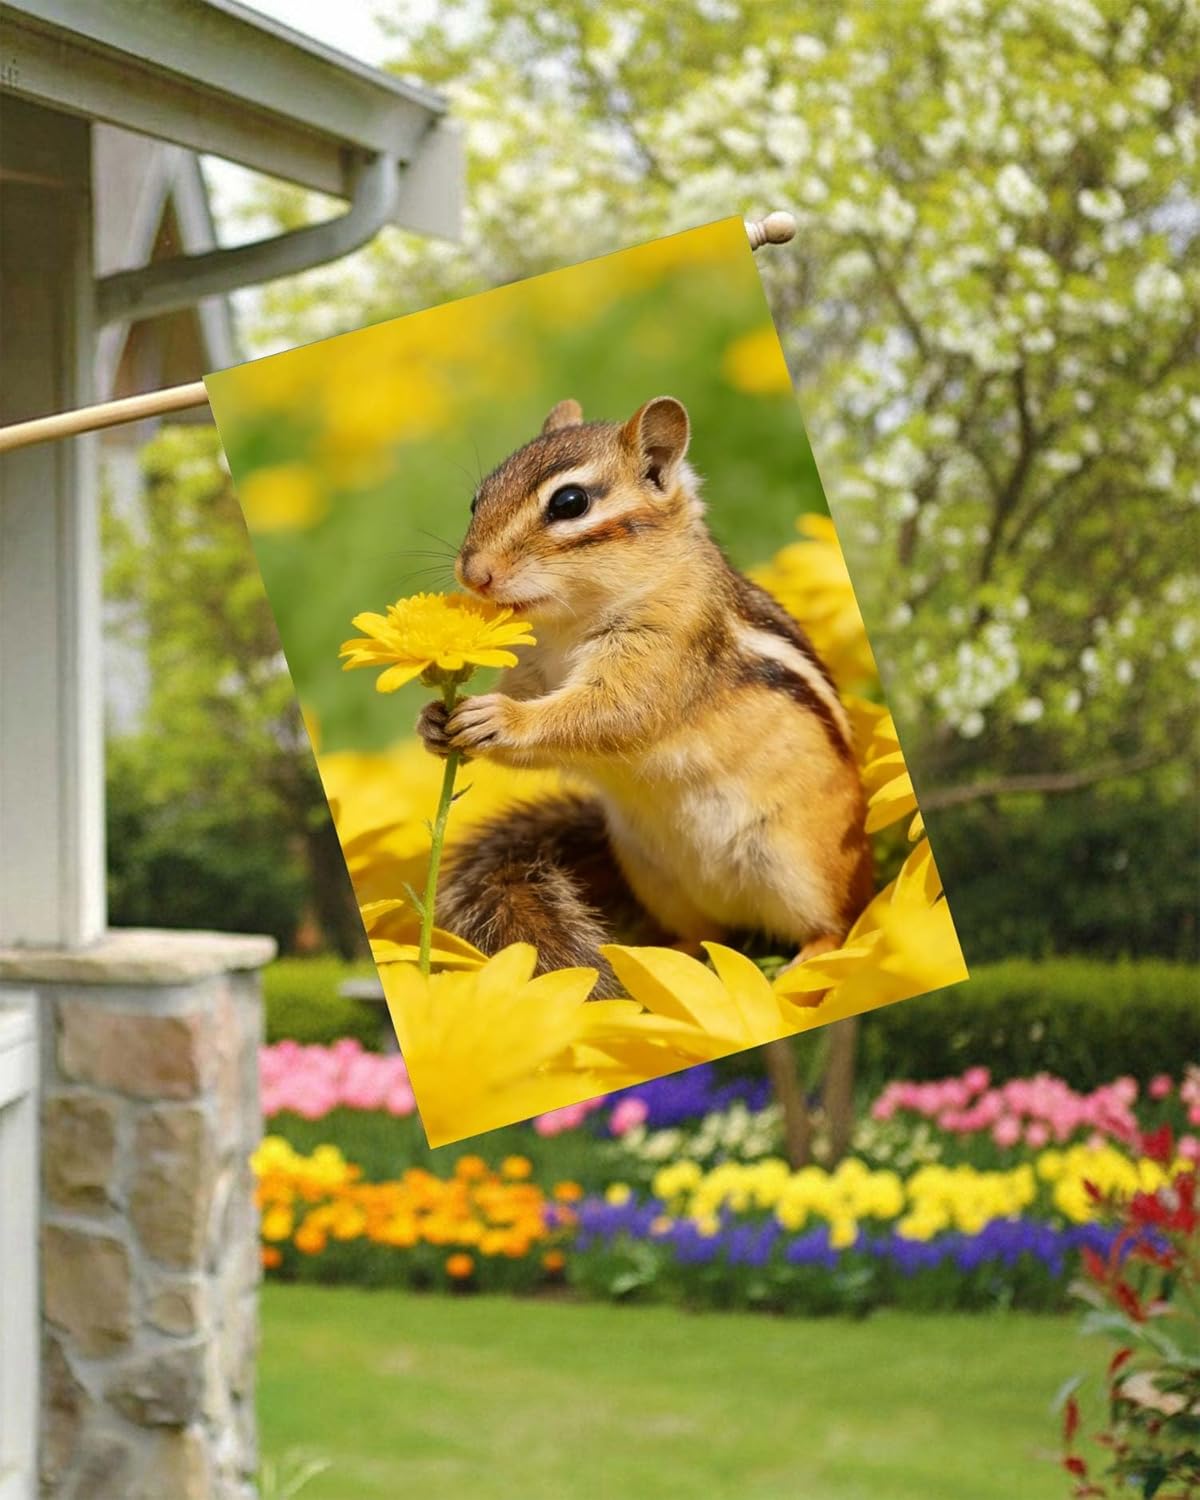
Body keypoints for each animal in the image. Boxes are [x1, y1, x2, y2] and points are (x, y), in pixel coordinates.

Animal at [417, 396, 873, 996]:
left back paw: (801, 967)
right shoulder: (535, 671)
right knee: (706, 937)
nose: (474, 574)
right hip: (656, 876)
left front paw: (500, 720)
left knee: (835, 923)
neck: (568, 626)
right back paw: (649, 962)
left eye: (569, 502)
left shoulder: (665, 653)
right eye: (478, 498)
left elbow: (611, 714)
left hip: (801, 865)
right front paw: (432, 722)